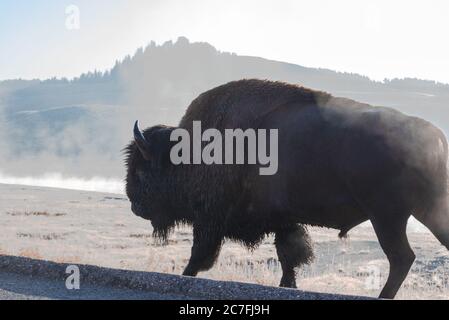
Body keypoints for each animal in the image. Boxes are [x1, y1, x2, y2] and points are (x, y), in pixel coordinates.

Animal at [125, 79, 448, 298]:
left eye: (141, 170)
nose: (134, 204)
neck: (188, 151)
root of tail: (433, 133)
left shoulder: (209, 220)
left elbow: (200, 256)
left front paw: (186, 275)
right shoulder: (283, 220)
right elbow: (289, 255)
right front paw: (288, 285)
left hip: (387, 216)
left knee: (401, 257)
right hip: (420, 210)